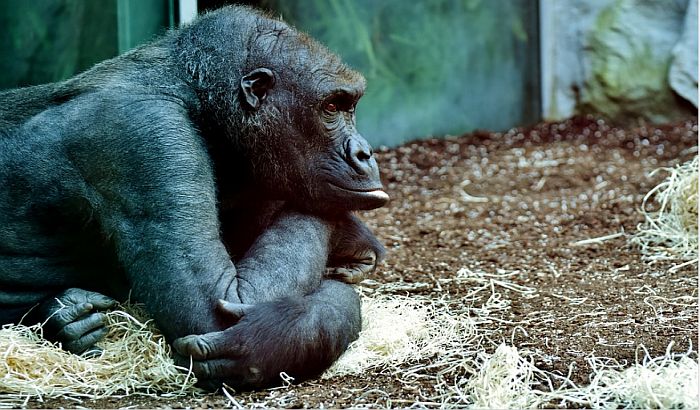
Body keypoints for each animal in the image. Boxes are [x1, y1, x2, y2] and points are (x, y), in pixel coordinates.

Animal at [0, 5, 388, 390]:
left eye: (349, 106)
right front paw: (269, 338)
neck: (195, 99)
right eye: (331, 107)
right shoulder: (146, 137)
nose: (364, 152)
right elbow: (218, 306)